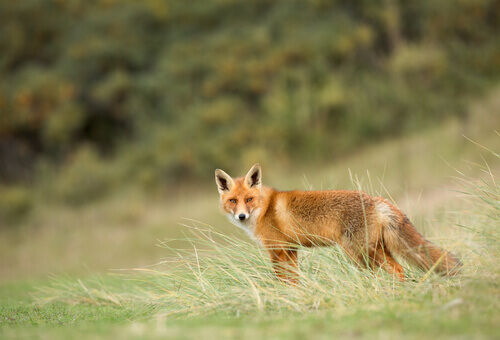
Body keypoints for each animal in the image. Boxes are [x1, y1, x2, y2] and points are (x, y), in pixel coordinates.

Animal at [215, 163, 460, 282]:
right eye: (233, 201)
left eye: (248, 199)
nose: (241, 216)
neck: (265, 208)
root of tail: (375, 199)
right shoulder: (291, 250)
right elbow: (294, 279)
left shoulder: (278, 250)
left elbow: (281, 280)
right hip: (376, 250)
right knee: (398, 268)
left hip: (359, 253)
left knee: (392, 270)